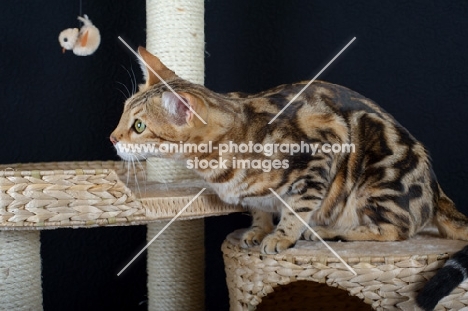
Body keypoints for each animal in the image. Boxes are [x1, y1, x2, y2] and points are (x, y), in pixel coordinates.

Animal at [110, 47, 468, 310]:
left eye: (139, 126)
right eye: (123, 112)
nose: (112, 138)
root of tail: (437, 190)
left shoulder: (322, 151)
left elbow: (297, 207)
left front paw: (282, 236)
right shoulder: (255, 194)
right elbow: (258, 207)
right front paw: (258, 229)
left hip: (376, 176)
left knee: (397, 230)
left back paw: (329, 232)